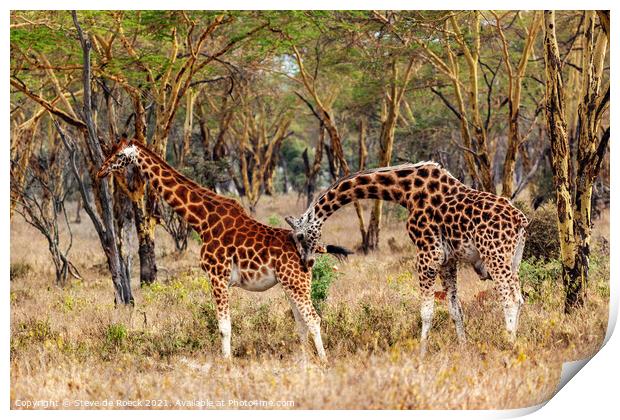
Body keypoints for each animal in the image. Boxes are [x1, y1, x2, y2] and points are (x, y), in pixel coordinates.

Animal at [96, 137, 348, 360]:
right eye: (109, 150)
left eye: (118, 155)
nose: (100, 172)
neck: (202, 220)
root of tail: (312, 246)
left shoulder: (217, 275)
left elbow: (224, 327)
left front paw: (226, 363)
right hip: (292, 283)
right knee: (301, 321)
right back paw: (305, 361)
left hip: (295, 282)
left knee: (313, 319)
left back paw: (323, 361)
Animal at [286, 161, 528, 354]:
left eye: (299, 235)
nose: (307, 262)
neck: (405, 192)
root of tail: (520, 220)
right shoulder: (448, 260)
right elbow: (455, 309)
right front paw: (463, 348)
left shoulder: (428, 253)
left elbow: (426, 311)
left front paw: (421, 354)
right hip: (513, 260)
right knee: (519, 297)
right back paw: (515, 342)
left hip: (495, 255)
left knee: (509, 299)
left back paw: (509, 345)